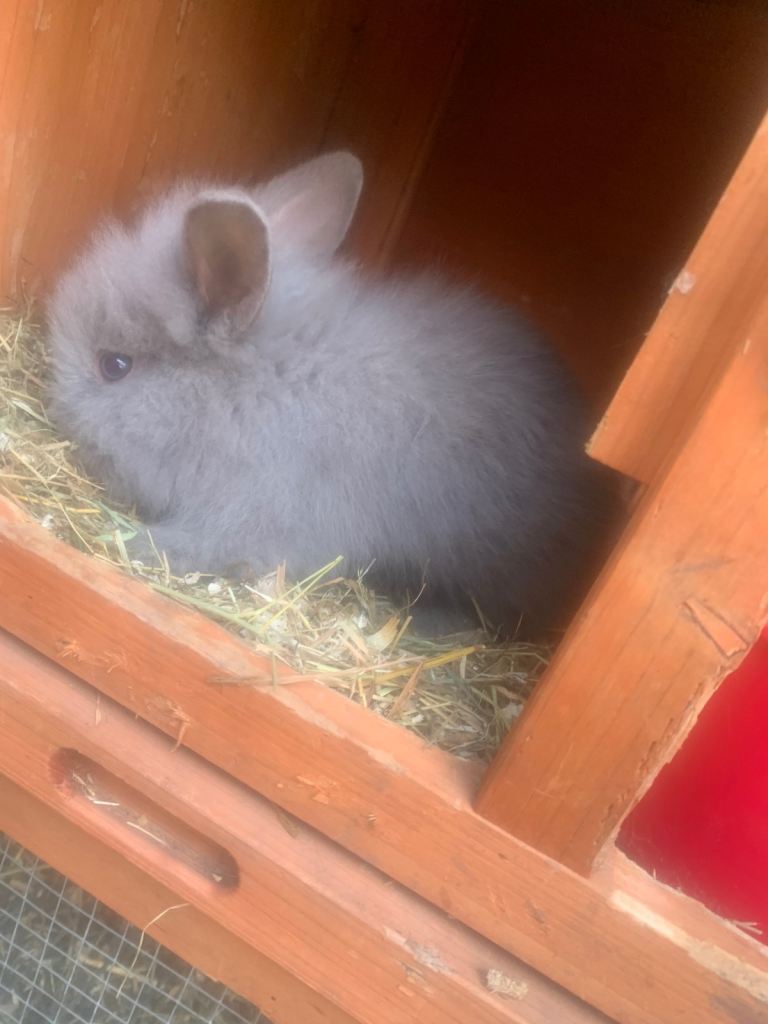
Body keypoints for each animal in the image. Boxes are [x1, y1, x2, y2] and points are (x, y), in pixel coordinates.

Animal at [46, 151, 616, 633]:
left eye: (114, 366)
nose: (54, 401)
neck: (252, 392)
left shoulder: (259, 514)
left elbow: (207, 544)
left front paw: (135, 543)